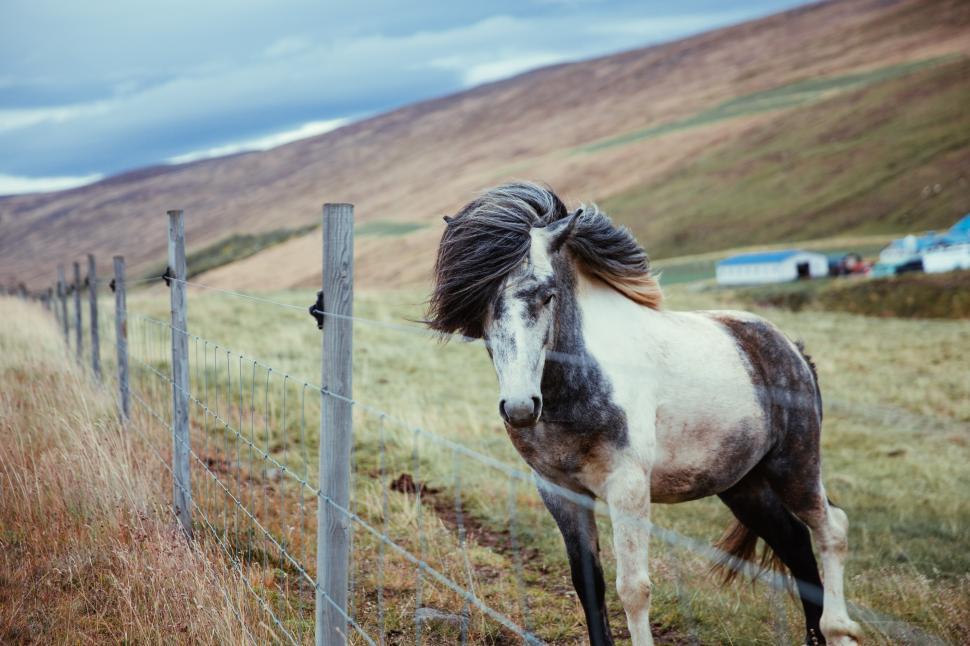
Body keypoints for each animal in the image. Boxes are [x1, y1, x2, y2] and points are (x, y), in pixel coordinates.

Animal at [426, 183, 862, 645]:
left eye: (547, 295)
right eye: (479, 303)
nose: (521, 407)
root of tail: (791, 349)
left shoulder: (628, 486)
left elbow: (633, 589)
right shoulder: (559, 490)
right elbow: (588, 583)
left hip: (794, 465)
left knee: (831, 530)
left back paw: (838, 629)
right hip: (743, 484)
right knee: (794, 543)